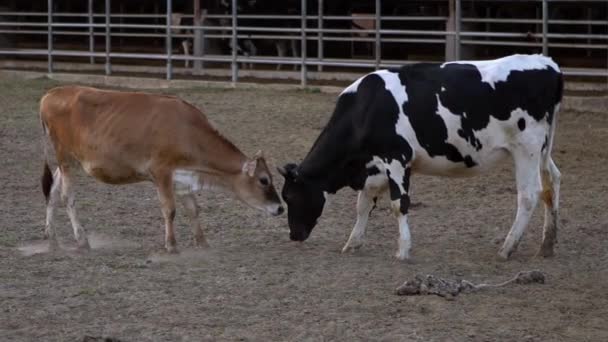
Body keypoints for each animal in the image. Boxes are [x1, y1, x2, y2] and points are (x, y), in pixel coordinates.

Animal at [40, 84, 282, 252]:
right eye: (264, 180)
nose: (280, 208)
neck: (187, 132)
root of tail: (50, 95)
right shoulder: (161, 171)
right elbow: (169, 209)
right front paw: (171, 246)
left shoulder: (183, 178)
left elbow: (193, 209)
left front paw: (202, 242)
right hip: (65, 157)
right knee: (67, 197)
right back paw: (82, 240)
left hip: (67, 162)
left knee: (53, 192)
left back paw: (52, 239)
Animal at [278, 54, 564, 260]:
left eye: (290, 196)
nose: (293, 235)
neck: (365, 109)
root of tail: (547, 64)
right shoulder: (375, 167)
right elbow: (363, 204)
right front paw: (353, 243)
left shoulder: (396, 158)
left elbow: (399, 204)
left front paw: (403, 250)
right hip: (542, 149)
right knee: (552, 182)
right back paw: (547, 244)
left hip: (526, 147)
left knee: (529, 195)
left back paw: (507, 248)